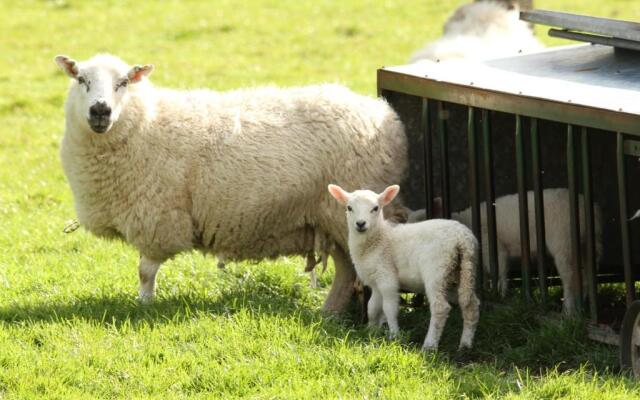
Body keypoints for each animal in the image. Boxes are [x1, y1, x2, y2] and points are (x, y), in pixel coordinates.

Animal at [53, 53, 404, 310]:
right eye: (81, 79)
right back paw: (328, 314)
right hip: (335, 219)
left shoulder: (158, 218)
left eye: (123, 82)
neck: (147, 122)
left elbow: (145, 271)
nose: (100, 110)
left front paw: (144, 305)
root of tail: (383, 114)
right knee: (347, 272)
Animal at [328, 184, 478, 350]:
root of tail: (462, 238)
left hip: (436, 270)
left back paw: (429, 345)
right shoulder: (375, 281)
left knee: (440, 307)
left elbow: (389, 308)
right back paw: (465, 344)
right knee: (471, 304)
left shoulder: (387, 276)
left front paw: (394, 335)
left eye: (375, 208)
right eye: (349, 208)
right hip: (463, 271)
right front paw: (371, 331)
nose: (360, 224)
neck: (378, 239)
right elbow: (372, 307)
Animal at [408, 188, 604, 316]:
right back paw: (584, 303)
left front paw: (500, 296)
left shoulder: (493, 246)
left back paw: (568, 310)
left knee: (570, 278)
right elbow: (485, 276)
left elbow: (499, 271)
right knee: (588, 275)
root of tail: (586, 209)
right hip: (589, 244)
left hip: (564, 242)